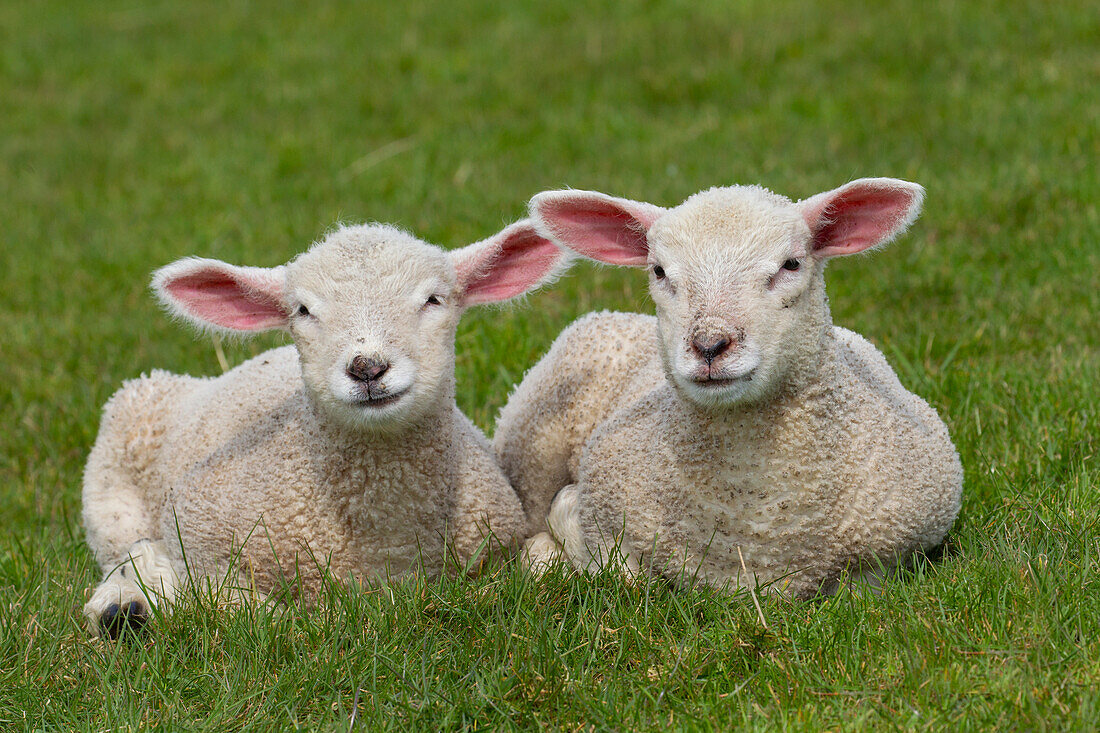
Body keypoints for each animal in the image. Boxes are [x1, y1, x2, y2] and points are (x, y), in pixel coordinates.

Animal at [83, 216, 567, 633]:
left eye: (434, 299)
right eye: (302, 310)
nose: (367, 367)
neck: (383, 543)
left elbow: (541, 564)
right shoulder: (196, 524)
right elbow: (242, 607)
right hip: (110, 491)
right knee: (125, 552)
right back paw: (121, 607)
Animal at [490, 177, 963, 594]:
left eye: (791, 264)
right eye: (658, 271)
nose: (710, 345)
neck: (754, 520)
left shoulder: (895, 547)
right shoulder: (601, 504)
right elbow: (616, 567)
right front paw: (548, 557)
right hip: (532, 443)